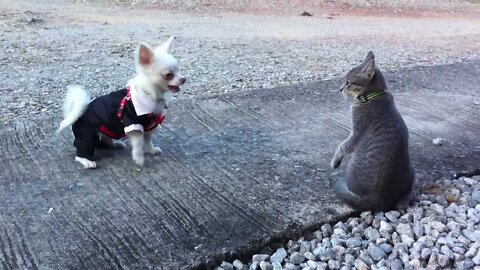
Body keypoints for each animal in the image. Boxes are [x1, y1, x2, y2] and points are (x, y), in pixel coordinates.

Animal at [332, 50, 414, 211]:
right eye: (344, 80)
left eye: (348, 82)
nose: (340, 89)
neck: (373, 96)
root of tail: (378, 200)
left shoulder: (356, 134)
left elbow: (342, 146)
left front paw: (334, 161)